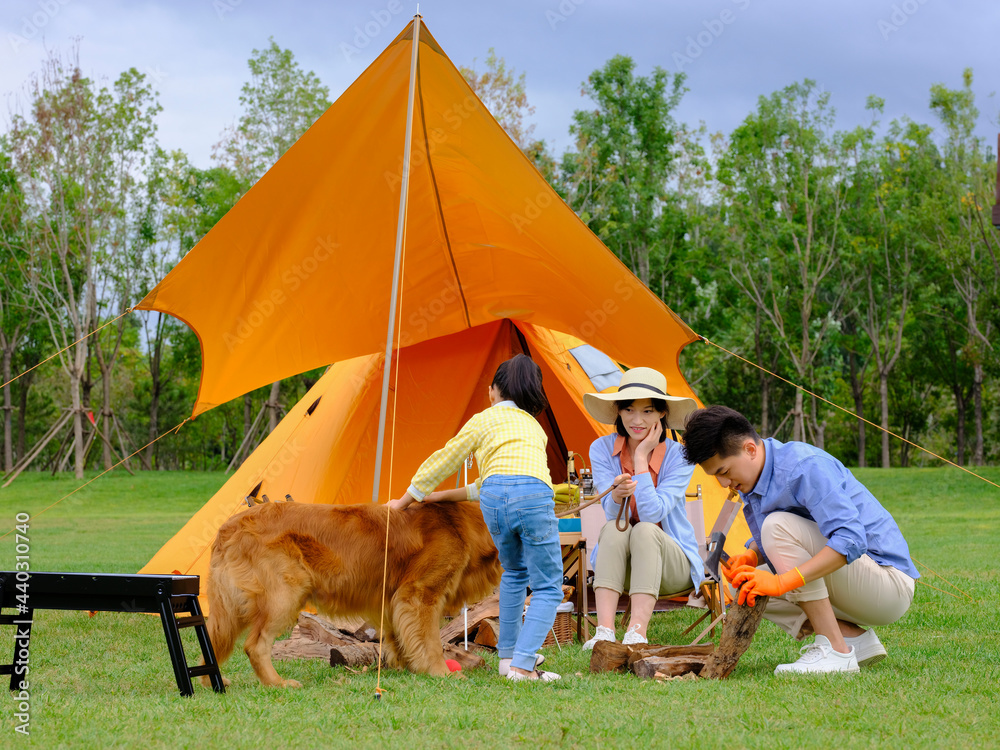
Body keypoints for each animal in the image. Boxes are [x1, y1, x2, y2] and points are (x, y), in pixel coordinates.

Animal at [202, 502, 500, 692]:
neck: (462, 524)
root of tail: (228, 527)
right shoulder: (419, 594)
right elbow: (431, 642)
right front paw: (441, 672)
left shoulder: (394, 600)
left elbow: (401, 637)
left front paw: (406, 666)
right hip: (283, 596)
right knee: (255, 645)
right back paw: (278, 683)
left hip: (235, 605)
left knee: (213, 637)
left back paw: (213, 682)